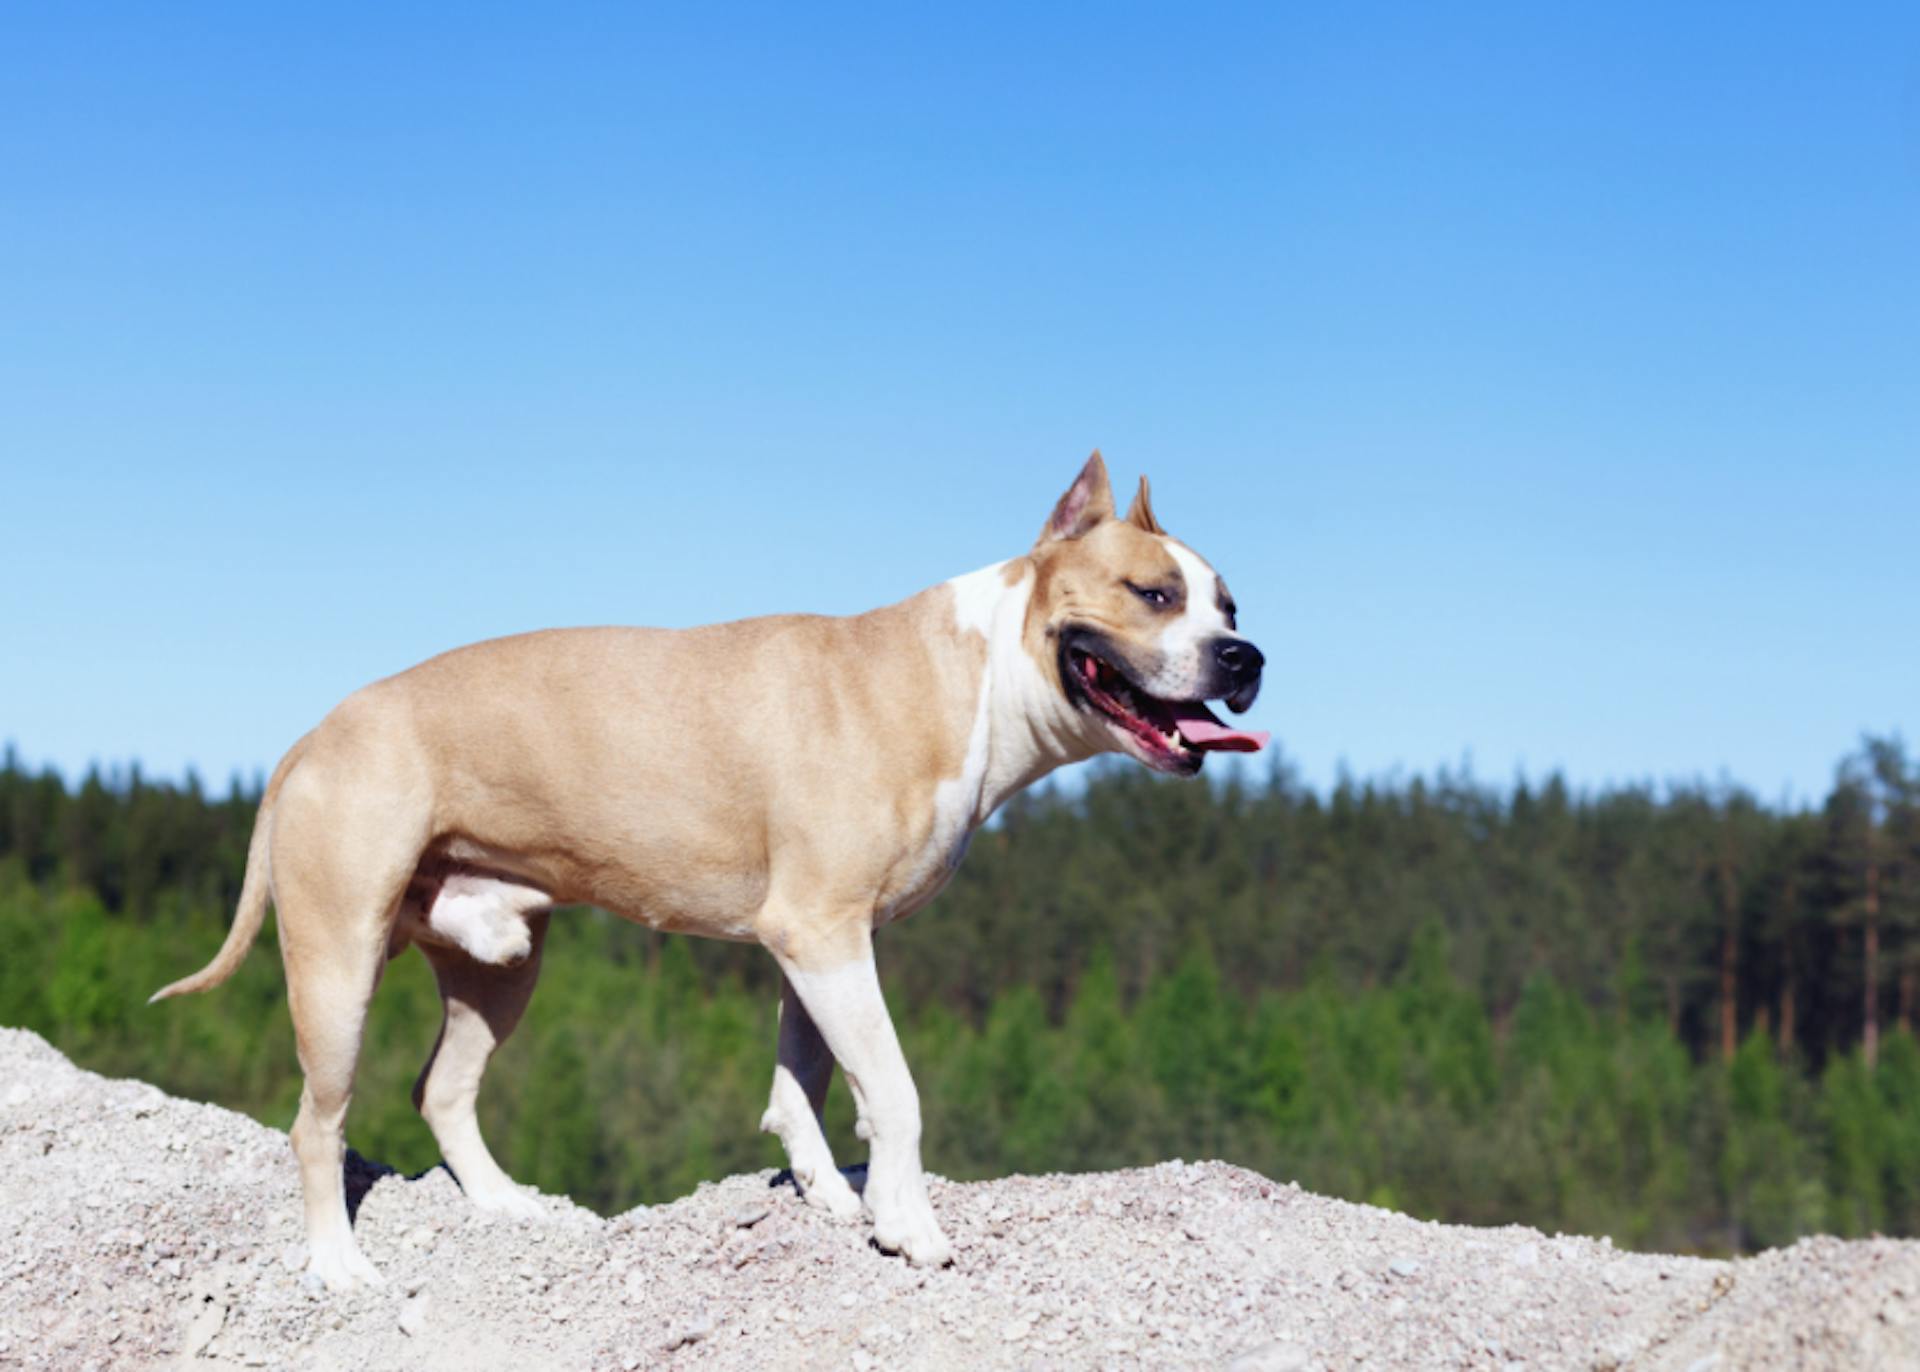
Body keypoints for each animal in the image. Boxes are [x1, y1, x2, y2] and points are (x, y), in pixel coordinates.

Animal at [145, 452, 1259, 1289]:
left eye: (1230, 605)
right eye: (1153, 594)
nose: (1244, 657)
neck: (969, 677)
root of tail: (313, 734)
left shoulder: (820, 942)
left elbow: (806, 1079)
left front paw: (830, 1194)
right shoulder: (822, 932)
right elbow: (894, 1089)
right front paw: (908, 1225)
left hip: (500, 963)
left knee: (444, 1089)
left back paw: (509, 1207)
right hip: (338, 965)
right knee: (317, 1123)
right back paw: (339, 1267)